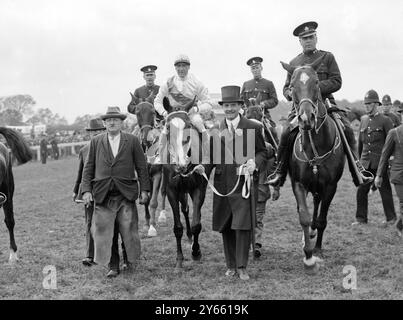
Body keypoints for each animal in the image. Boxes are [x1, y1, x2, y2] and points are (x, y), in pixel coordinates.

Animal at [161, 97, 210, 268]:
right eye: (168, 126)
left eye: (188, 125)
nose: (181, 164)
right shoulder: (172, 191)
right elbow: (177, 227)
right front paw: (179, 258)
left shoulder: (199, 189)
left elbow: (197, 224)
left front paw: (196, 252)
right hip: (182, 190)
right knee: (186, 210)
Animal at [282, 58, 346, 272]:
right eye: (292, 86)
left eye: (317, 82)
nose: (305, 118)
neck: (314, 147)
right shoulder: (298, 184)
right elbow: (303, 216)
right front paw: (308, 256)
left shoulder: (330, 186)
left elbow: (322, 220)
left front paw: (316, 249)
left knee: (318, 210)